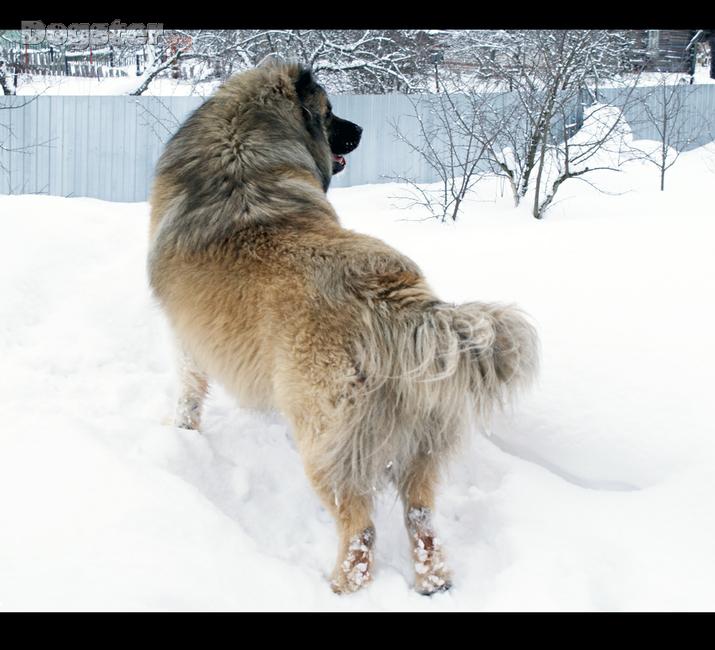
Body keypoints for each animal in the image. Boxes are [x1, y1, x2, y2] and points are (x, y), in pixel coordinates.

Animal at [147, 60, 539, 595]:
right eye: (331, 112)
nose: (359, 131)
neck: (240, 149)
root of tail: (397, 305)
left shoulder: (184, 339)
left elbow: (188, 393)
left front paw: (182, 432)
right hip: (421, 439)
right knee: (420, 519)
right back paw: (433, 581)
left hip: (327, 444)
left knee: (361, 531)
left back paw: (340, 586)